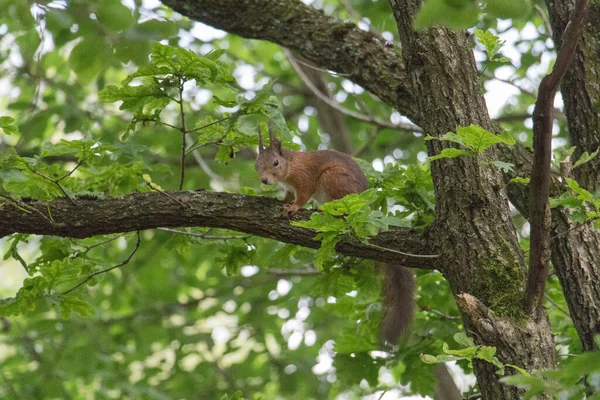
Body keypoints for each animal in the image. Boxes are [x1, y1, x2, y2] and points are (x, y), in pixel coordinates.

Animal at [252, 126, 412, 346]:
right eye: (256, 164)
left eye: (275, 163)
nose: (264, 180)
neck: (290, 166)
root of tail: (365, 208)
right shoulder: (289, 187)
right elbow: (288, 195)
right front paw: (281, 200)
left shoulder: (305, 179)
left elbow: (302, 196)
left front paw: (293, 208)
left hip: (334, 179)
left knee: (343, 213)